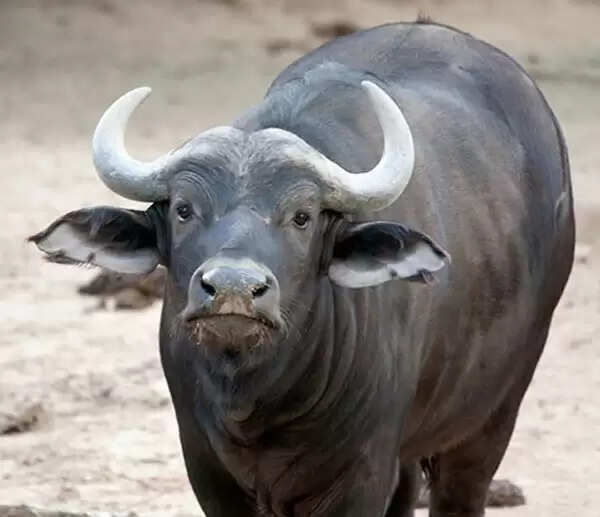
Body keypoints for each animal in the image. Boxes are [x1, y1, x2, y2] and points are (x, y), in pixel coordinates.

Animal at [30, 20, 574, 517]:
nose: (232, 288)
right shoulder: (207, 469)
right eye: (184, 209)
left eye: (302, 216)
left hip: (490, 418)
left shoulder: (360, 475)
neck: (256, 402)